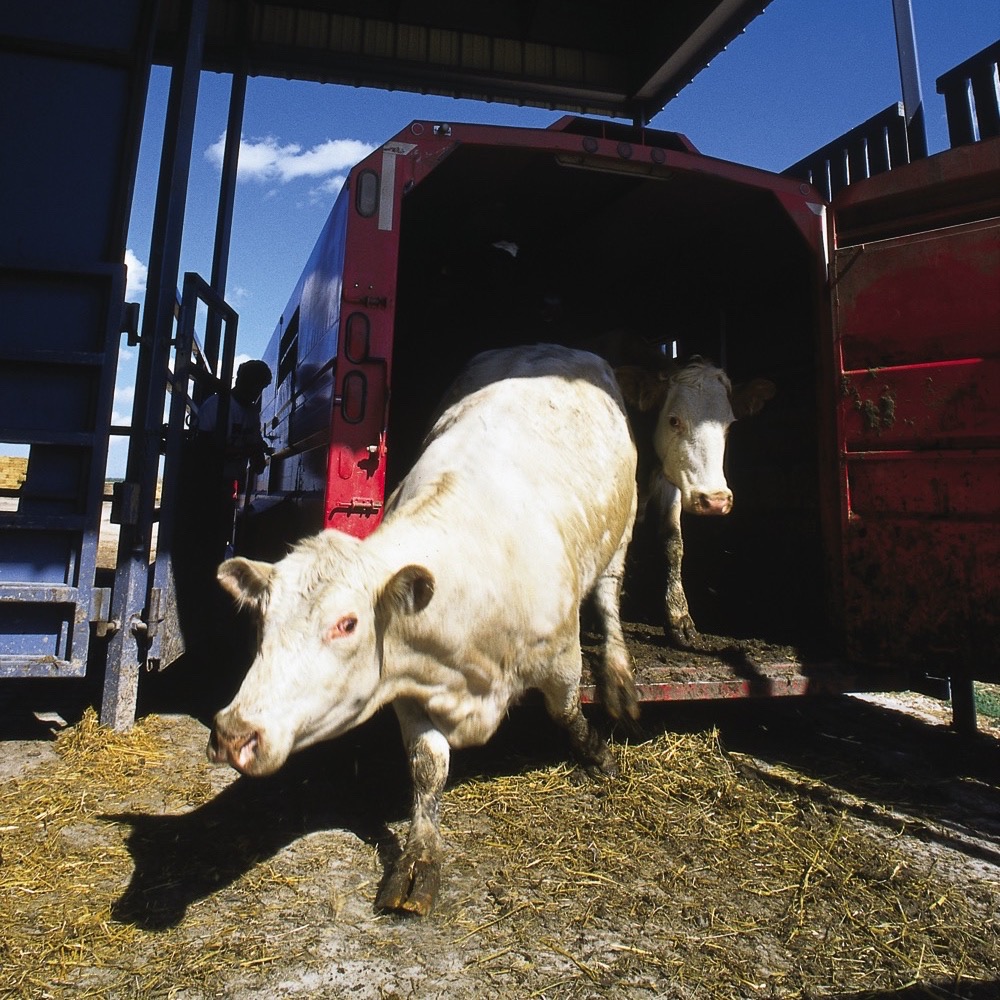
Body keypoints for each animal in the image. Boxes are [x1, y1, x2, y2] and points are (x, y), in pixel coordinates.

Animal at [208, 343, 639, 916]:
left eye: (346, 624)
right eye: (262, 620)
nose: (235, 734)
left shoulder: (561, 656)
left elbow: (567, 711)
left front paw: (596, 752)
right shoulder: (407, 685)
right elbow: (427, 766)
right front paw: (421, 857)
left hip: (622, 533)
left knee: (610, 598)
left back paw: (620, 677)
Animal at [614, 359, 775, 647]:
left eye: (729, 426)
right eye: (674, 420)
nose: (715, 500)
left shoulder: (672, 481)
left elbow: (673, 544)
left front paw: (679, 617)